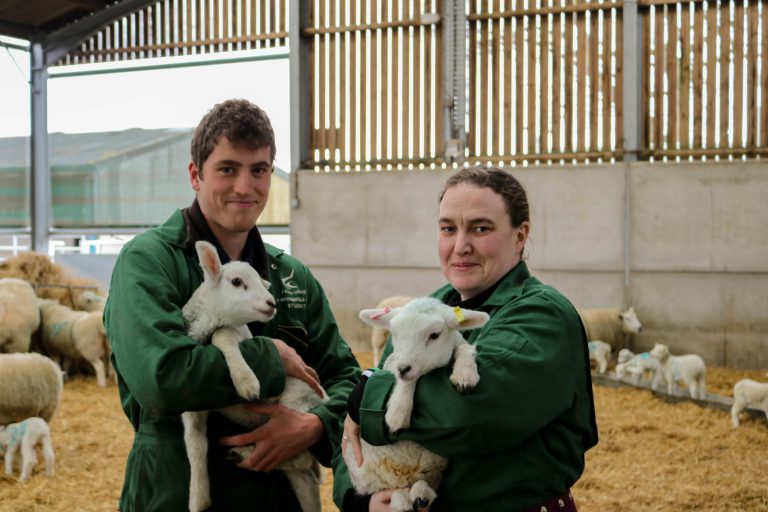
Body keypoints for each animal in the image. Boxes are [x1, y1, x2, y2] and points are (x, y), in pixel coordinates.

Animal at [182, 240, 327, 512]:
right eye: (237, 282)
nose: (271, 304)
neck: (210, 320)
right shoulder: (193, 404)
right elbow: (195, 446)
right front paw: (198, 498)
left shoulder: (239, 333)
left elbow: (222, 336)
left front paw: (246, 382)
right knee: (304, 475)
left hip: (296, 404)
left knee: (300, 457)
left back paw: (244, 452)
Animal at [350, 297, 489, 512]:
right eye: (394, 334)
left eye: (435, 335)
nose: (403, 368)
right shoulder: (397, 366)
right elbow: (409, 380)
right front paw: (398, 413)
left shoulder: (456, 344)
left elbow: (464, 347)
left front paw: (465, 375)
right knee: (396, 492)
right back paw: (405, 501)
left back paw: (421, 493)